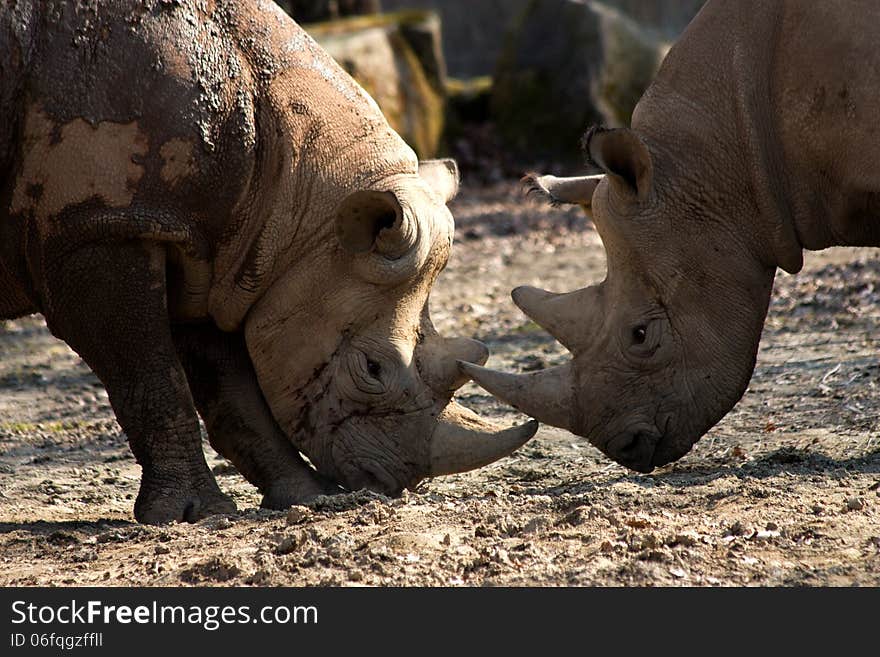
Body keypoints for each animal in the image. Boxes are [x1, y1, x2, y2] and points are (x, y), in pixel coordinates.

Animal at [0, 0, 536, 524]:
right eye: (371, 369)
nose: (401, 481)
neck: (294, 193)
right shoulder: (97, 226)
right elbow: (150, 376)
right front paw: (191, 514)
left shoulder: (213, 256)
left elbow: (230, 389)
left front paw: (305, 496)